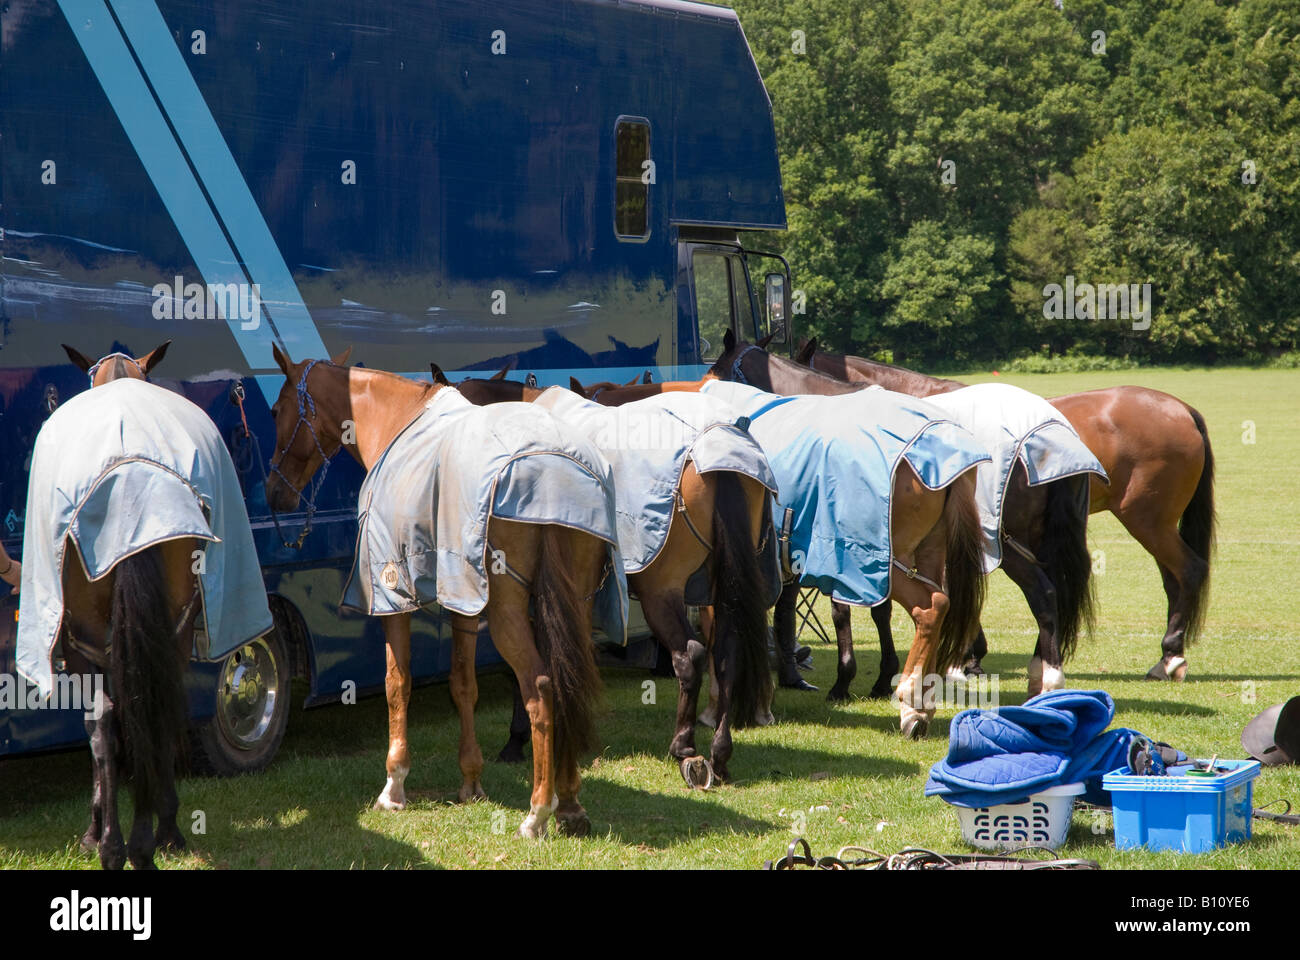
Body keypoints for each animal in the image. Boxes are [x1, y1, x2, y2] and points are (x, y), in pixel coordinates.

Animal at [264, 347, 617, 837]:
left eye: (276, 410)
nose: (273, 491)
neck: (396, 421)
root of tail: (555, 469)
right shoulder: (463, 601)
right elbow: (462, 684)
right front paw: (471, 779)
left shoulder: (394, 596)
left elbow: (398, 683)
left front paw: (394, 786)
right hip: (574, 604)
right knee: (569, 682)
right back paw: (569, 804)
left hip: (509, 613)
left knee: (541, 687)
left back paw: (538, 811)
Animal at [456, 367, 776, 785]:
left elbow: (525, 667)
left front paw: (518, 741)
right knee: (726, 653)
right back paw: (719, 753)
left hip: (662, 591)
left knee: (690, 655)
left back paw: (684, 747)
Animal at [797, 338, 1216, 681]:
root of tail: (1182, 408)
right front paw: (969, 655)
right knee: (1170, 580)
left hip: (1146, 522)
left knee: (1188, 570)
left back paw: (1169, 656)